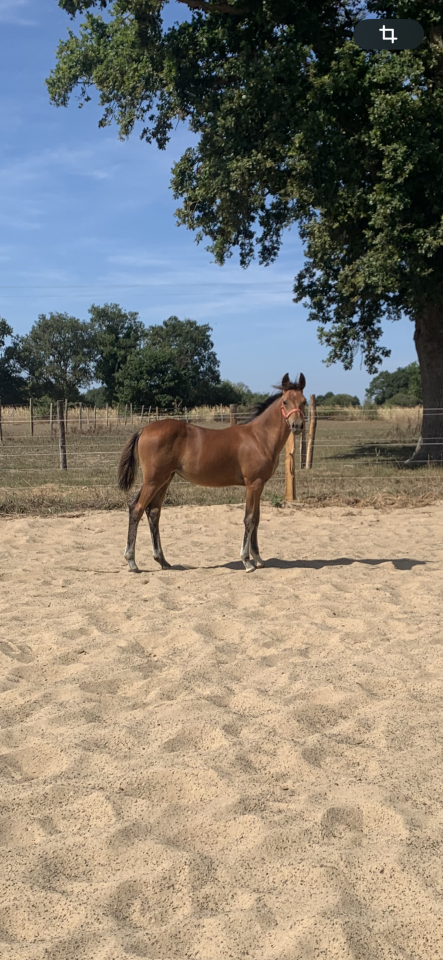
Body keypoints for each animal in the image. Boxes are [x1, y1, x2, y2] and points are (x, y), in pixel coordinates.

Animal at [117, 372, 306, 573]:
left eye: (303, 402)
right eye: (285, 401)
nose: (297, 426)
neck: (258, 438)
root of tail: (144, 429)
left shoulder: (260, 484)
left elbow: (257, 518)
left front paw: (258, 558)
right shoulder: (253, 484)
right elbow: (249, 518)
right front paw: (247, 561)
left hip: (164, 480)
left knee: (153, 512)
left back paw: (162, 560)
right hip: (153, 480)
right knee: (136, 509)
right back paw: (132, 561)